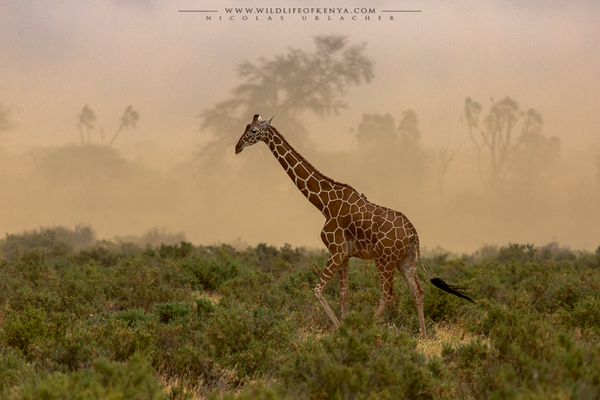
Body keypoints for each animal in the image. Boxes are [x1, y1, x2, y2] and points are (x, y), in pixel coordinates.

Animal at [234, 114, 474, 340]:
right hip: (406, 259)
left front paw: (341, 328)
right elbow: (344, 295)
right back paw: (423, 337)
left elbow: (318, 290)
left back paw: (367, 328)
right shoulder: (345, 255)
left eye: (253, 130)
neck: (325, 203)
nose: (237, 147)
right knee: (418, 291)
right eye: (245, 127)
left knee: (388, 294)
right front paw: (343, 327)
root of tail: (413, 231)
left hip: (384, 259)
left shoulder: (336, 250)